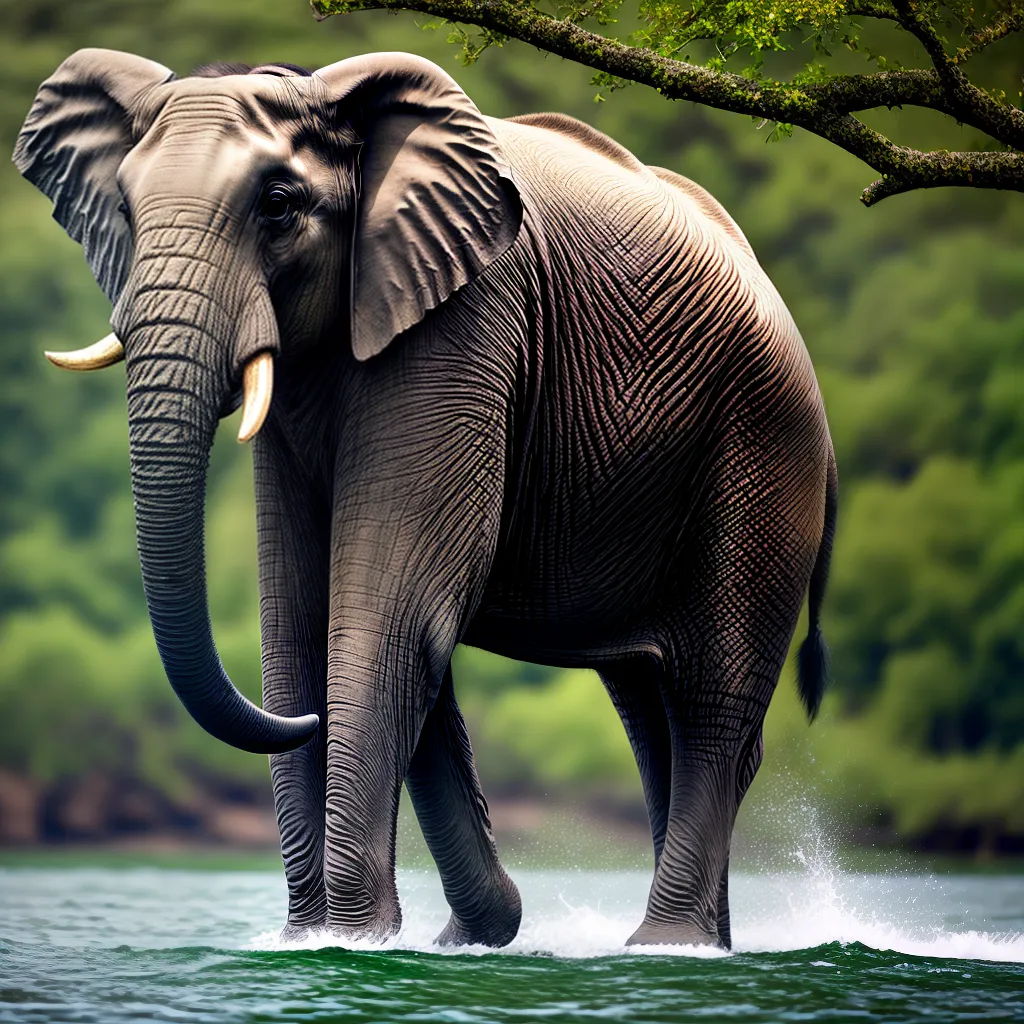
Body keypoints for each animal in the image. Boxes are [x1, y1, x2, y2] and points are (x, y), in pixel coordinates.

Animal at [14, 47, 836, 950]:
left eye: (279, 205)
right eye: (123, 208)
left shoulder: (468, 318)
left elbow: (391, 602)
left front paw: (357, 941)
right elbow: (300, 614)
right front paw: (328, 943)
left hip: (763, 450)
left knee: (710, 705)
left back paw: (664, 947)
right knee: (649, 703)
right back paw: (690, 945)